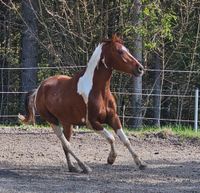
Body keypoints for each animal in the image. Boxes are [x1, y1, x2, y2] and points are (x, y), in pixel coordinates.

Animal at [18, 34, 145, 173]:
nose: (140, 68)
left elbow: (125, 140)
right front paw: (111, 158)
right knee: (67, 144)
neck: (98, 90)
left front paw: (140, 163)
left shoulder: (113, 118)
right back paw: (85, 167)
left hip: (67, 123)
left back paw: (73, 167)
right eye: (120, 51)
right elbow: (111, 137)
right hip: (52, 121)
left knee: (65, 145)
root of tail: (39, 89)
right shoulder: (92, 122)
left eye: (127, 50)